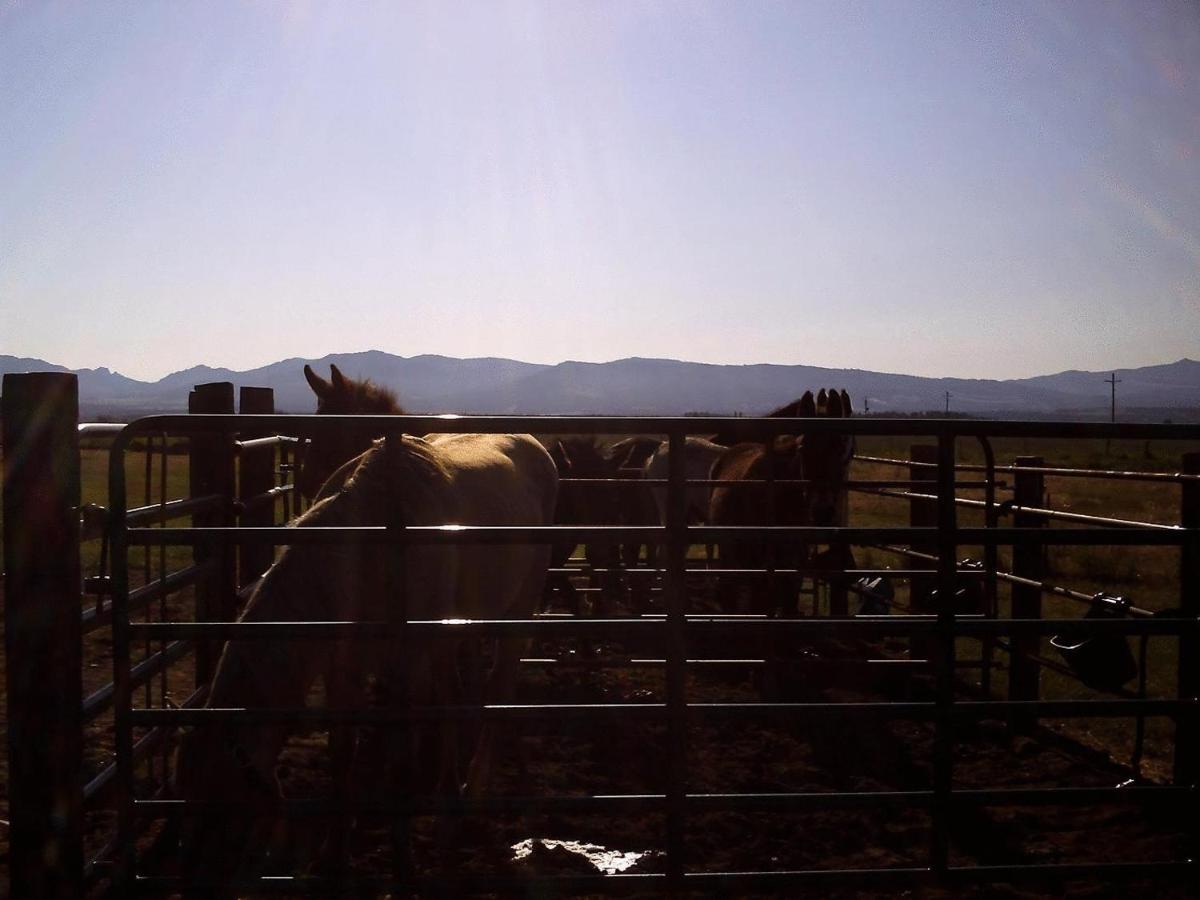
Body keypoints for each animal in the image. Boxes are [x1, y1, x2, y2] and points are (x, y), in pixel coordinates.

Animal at [174, 429, 556, 883]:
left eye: (225, 809)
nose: (189, 875)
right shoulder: (343, 667)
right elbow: (342, 753)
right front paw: (331, 854)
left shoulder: (405, 666)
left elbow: (398, 761)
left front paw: (404, 858)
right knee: (454, 696)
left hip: (516, 612)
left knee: (498, 690)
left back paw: (471, 792)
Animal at [705, 391, 859, 619]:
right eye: (803, 447)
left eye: (841, 448)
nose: (822, 511)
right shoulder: (758, 566)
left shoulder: (793, 570)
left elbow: (787, 606)